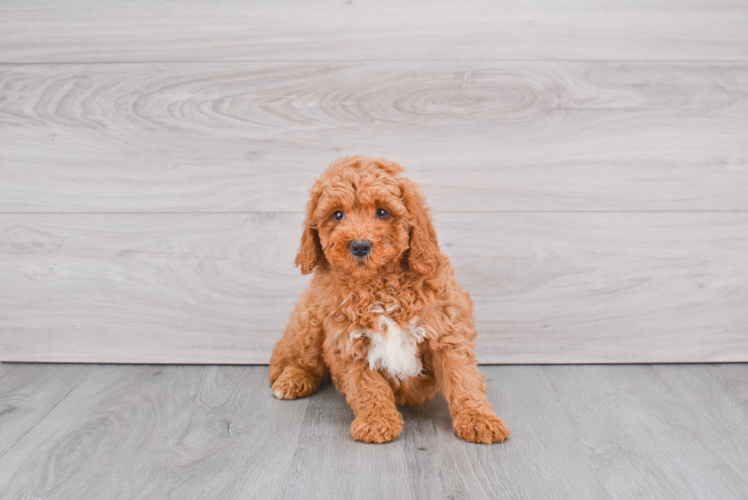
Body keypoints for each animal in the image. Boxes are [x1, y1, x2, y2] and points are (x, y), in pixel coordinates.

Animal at [268, 156, 508, 446]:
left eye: (382, 212)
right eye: (337, 215)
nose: (360, 245)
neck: (379, 285)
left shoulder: (446, 330)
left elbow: (462, 377)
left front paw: (480, 419)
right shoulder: (348, 341)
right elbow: (366, 384)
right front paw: (377, 421)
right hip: (309, 321)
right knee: (290, 358)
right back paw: (292, 380)